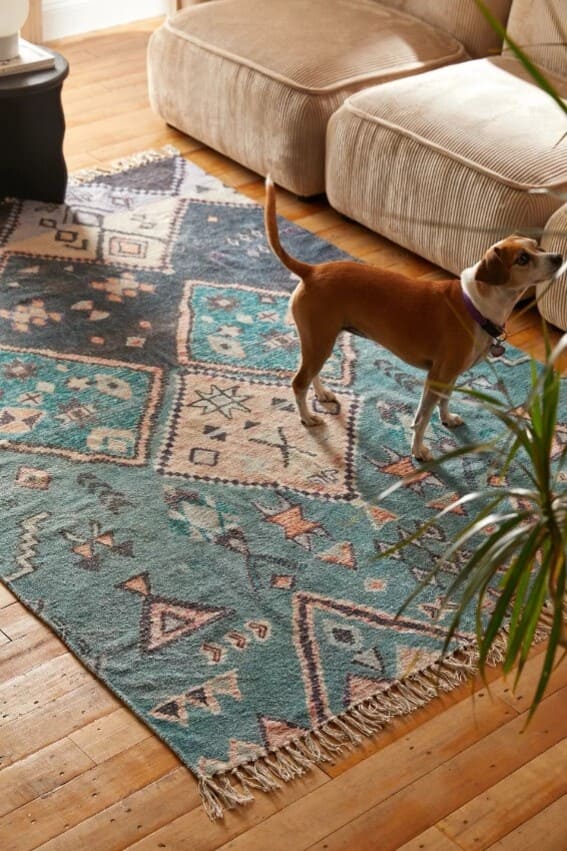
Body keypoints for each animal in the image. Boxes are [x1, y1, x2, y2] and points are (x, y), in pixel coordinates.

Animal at [266, 175, 564, 460]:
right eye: (522, 258)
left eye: (537, 246)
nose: (559, 256)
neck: (476, 304)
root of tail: (312, 271)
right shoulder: (438, 375)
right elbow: (422, 419)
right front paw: (418, 450)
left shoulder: (450, 375)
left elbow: (444, 401)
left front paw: (447, 419)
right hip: (320, 340)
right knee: (299, 382)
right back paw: (307, 417)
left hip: (322, 340)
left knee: (310, 372)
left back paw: (322, 393)